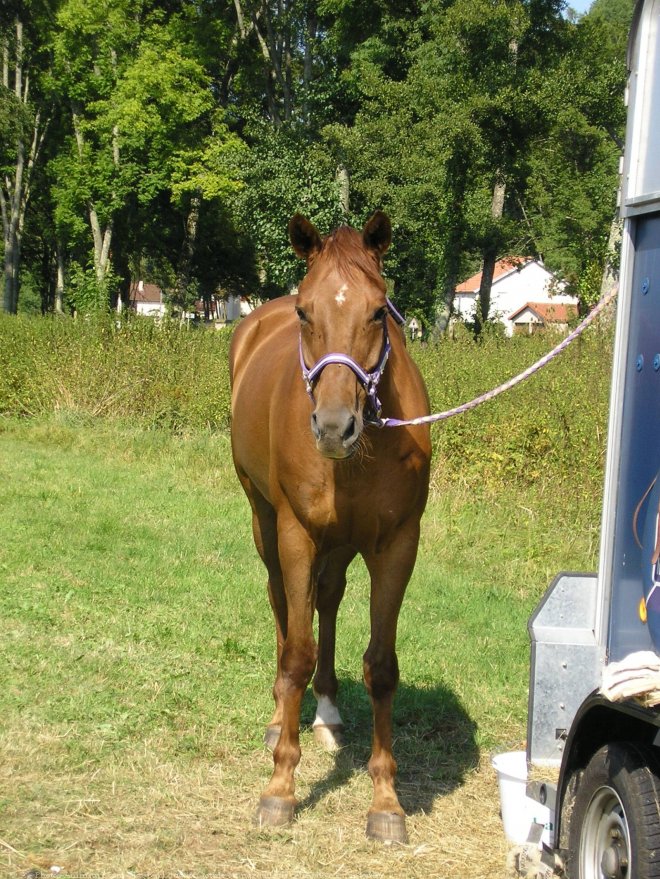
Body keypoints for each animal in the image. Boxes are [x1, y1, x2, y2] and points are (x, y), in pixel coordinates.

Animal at [229, 210, 430, 844]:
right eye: (305, 312)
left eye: (378, 310)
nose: (335, 427)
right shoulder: (297, 533)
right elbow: (296, 650)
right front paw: (279, 789)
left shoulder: (397, 544)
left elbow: (382, 667)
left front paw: (386, 802)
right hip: (265, 520)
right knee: (282, 604)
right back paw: (280, 718)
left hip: (341, 545)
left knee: (330, 598)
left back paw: (328, 711)